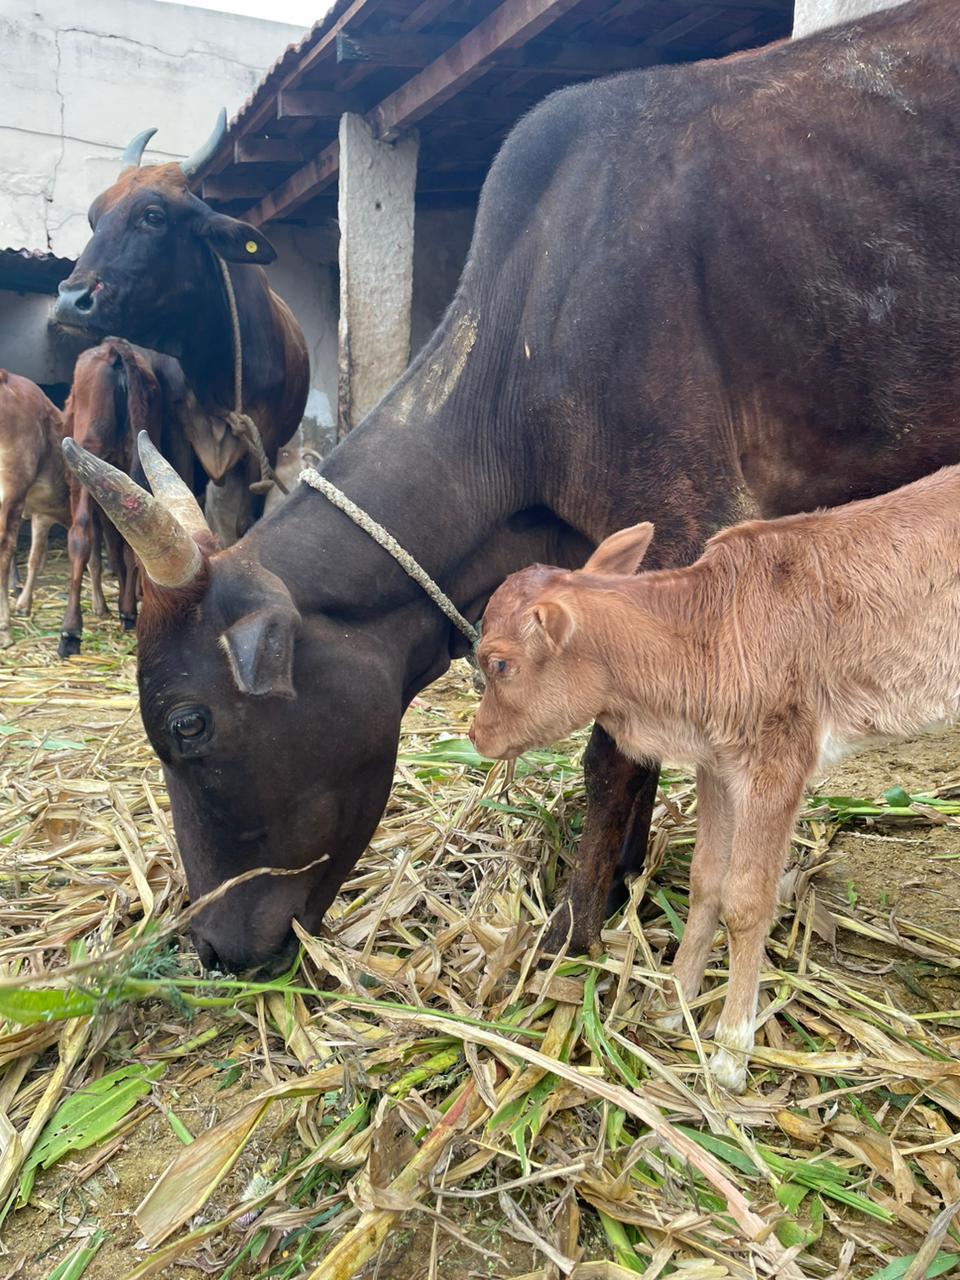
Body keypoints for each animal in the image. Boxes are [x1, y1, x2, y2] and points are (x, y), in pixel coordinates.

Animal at [54, 114, 309, 547]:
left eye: (153, 216)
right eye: (93, 220)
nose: (71, 300)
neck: (216, 369)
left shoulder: (265, 442)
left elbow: (246, 522)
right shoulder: (176, 433)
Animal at [468, 468, 960, 1092]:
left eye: (499, 662)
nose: (476, 733)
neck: (708, 633)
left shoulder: (777, 763)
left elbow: (745, 900)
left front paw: (730, 1052)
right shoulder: (718, 767)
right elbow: (706, 881)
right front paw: (672, 1002)